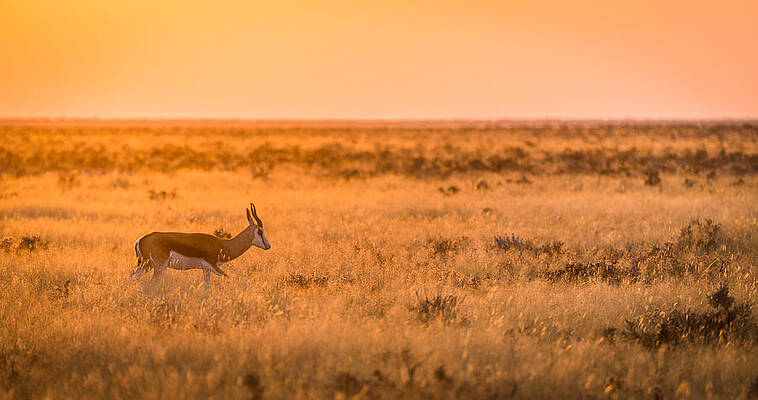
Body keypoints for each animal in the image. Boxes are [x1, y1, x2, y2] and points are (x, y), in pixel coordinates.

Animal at [131, 203, 270, 285]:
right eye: (260, 231)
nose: (268, 246)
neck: (223, 245)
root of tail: (140, 240)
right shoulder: (214, 267)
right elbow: (228, 277)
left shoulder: (206, 270)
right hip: (157, 267)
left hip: (144, 266)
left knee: (130, 278)